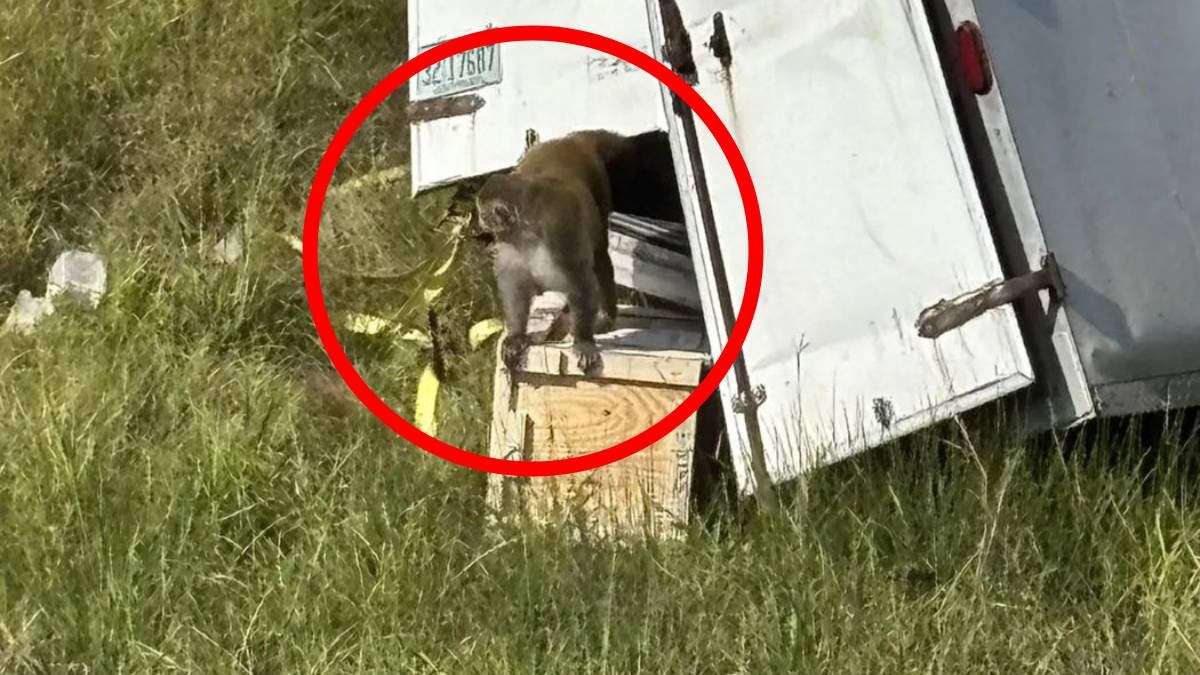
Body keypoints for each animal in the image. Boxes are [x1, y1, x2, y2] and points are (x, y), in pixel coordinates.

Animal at [475, 129, 632, 375]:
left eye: (483, 213)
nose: (480, 222)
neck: (527, 231)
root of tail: (570, 140)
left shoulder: (559, 229)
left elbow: (580, 280)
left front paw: (583, 341)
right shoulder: (509, 243)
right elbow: (515, 284)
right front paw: (516, 335)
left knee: (599, 256)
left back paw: (606, 317)